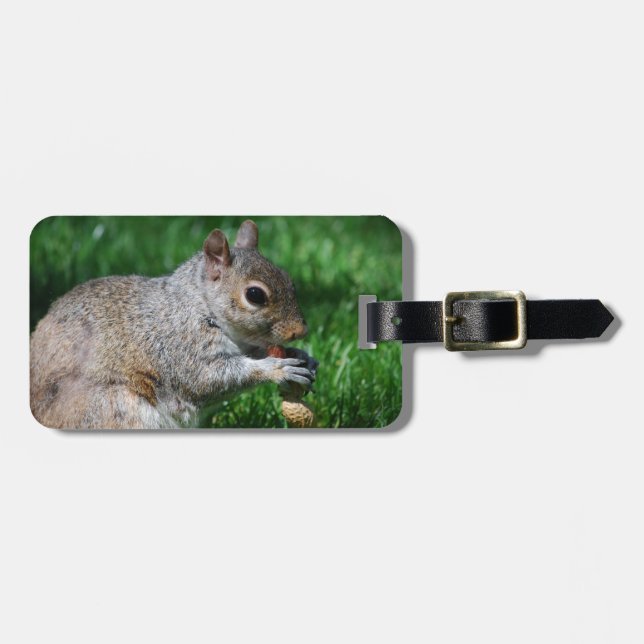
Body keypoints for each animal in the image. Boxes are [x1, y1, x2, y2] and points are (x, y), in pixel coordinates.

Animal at [30, 220, 317, 429]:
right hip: (112, 409)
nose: (301, 331)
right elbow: (210, 378)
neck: (199, 304)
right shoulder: (181, 345)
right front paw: (277, 368)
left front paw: (304, 357)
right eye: (255, 295)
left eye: (289, 279)